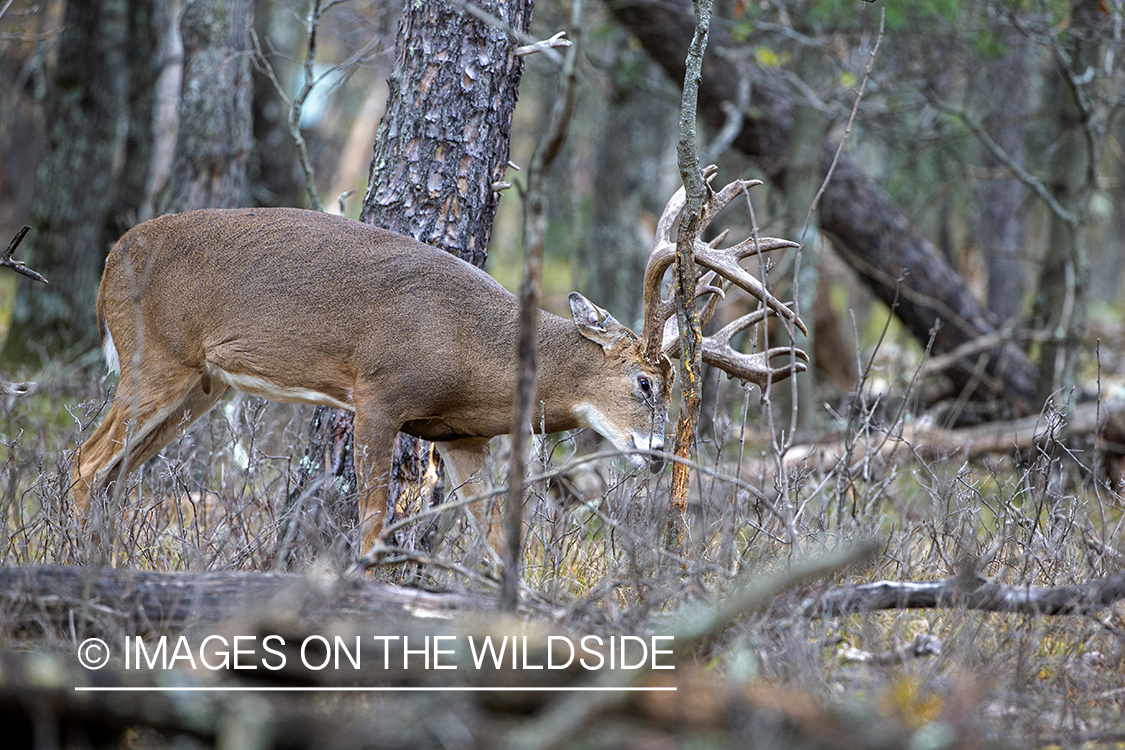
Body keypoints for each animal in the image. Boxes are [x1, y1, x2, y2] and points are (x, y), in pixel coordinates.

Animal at [72, 169, 810, 557]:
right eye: (645, 381)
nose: (657, 454)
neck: (474, 355)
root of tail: (110, 258)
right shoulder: (378, 393)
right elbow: (373, 523)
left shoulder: (462, 437)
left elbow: (498, 538)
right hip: (154, 356)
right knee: (86, 461)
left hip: (202, 386)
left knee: (116, 471)